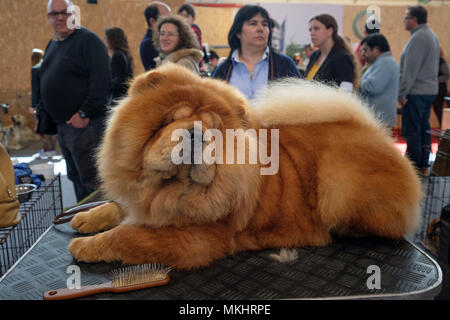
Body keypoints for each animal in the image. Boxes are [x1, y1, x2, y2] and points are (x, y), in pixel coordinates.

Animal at [68, 63, 424, 268]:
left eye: (215, 131)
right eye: (172, 119)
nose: (197, 134)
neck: (165, 190)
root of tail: (373, 132)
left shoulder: (194, 236)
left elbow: (126, 236)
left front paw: (85, 246)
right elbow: (117, 208)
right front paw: (87, 218)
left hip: (339, 185)